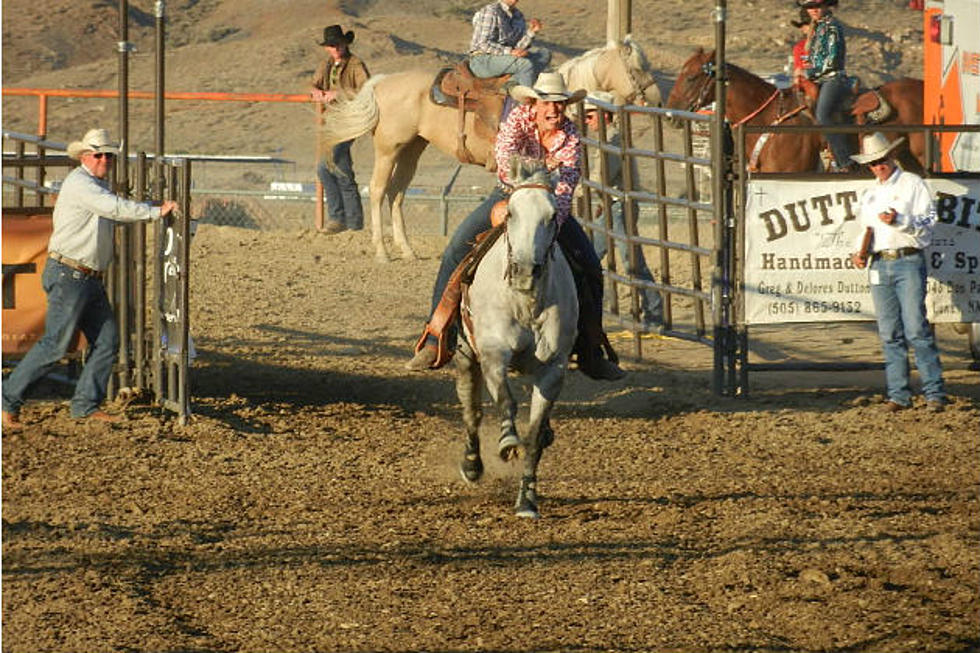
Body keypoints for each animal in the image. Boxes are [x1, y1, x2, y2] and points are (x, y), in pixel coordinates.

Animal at [318, 38, 664, 262]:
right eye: (638, 67)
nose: (657, 98)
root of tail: (380, 82)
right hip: (389, 148)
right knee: (377, 190)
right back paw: (381, 251)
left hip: (412, 149)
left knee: (396, 193)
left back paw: (406, 249)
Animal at [454, 157, 580, 516]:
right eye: (510, 212)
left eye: (552, 216)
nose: (524, 271)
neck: (525, 302)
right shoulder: (493, 353)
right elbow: (505, 401)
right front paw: (507, 440)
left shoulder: (553, 369)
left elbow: (534, 436)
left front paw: (527, 499)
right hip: (465, 355)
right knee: (471, 409)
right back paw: (472, 464)